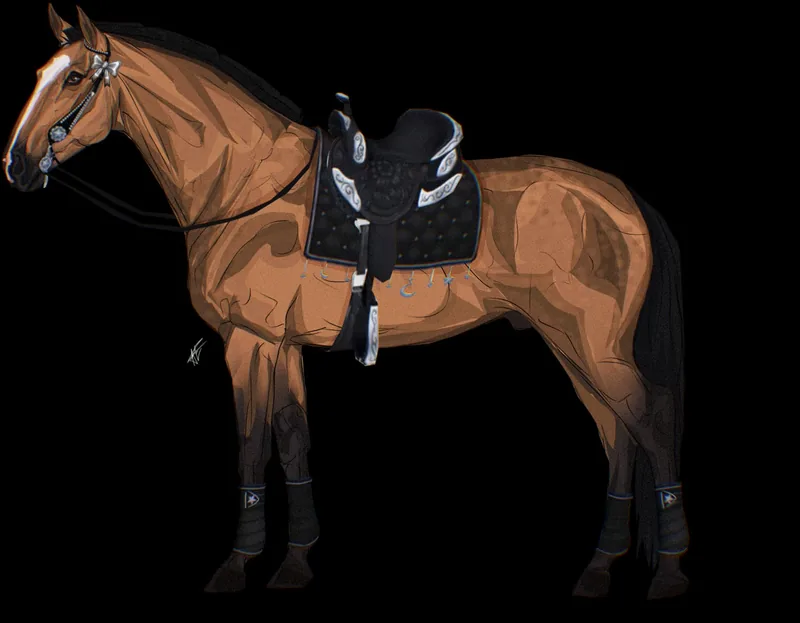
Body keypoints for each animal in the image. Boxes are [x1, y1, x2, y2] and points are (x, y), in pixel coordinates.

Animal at [4, 5, 689, 599]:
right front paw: (295, 561)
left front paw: (237, 564)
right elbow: (292, 438)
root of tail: (624, 199)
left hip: (595, 348)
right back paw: (599, 568)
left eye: (72, 78)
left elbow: (253, 444)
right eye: (39, 74)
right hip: (571, 347)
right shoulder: (280, 346)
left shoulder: (248, 343)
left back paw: (670, 572)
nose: (16, 165)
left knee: (652, 425)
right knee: (616, 435)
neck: (244, 184)